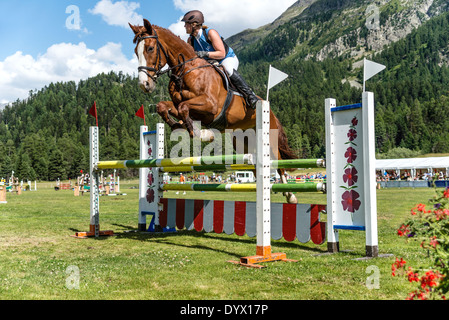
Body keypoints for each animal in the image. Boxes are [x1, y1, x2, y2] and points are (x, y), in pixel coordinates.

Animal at [130, 20, 298, 204]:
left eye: (150, 48)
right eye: (135, 51)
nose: (144, 84)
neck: (185, 70)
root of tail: (270, 110)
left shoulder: (210, 105)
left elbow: (183, 108)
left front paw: (201, 133)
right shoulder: (181, 104)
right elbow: (164, 106)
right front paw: (179, 126)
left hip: (269, 138)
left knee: (279, 163)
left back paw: (290, 195)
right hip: (243, 142)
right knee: (255, 165)